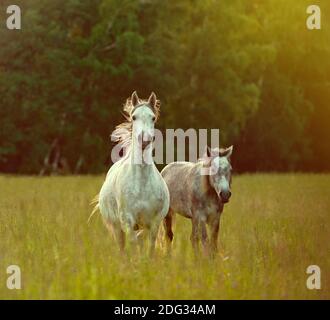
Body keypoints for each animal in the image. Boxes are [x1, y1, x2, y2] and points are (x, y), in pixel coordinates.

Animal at [93, 92, 170, 255]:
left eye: (153, 117)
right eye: (134, 117)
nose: (145, 141)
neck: (142, 184)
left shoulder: (153, 223)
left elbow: (149, 248)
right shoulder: (127, 221)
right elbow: (134, 245)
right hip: (117, 228)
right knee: (122, 248)